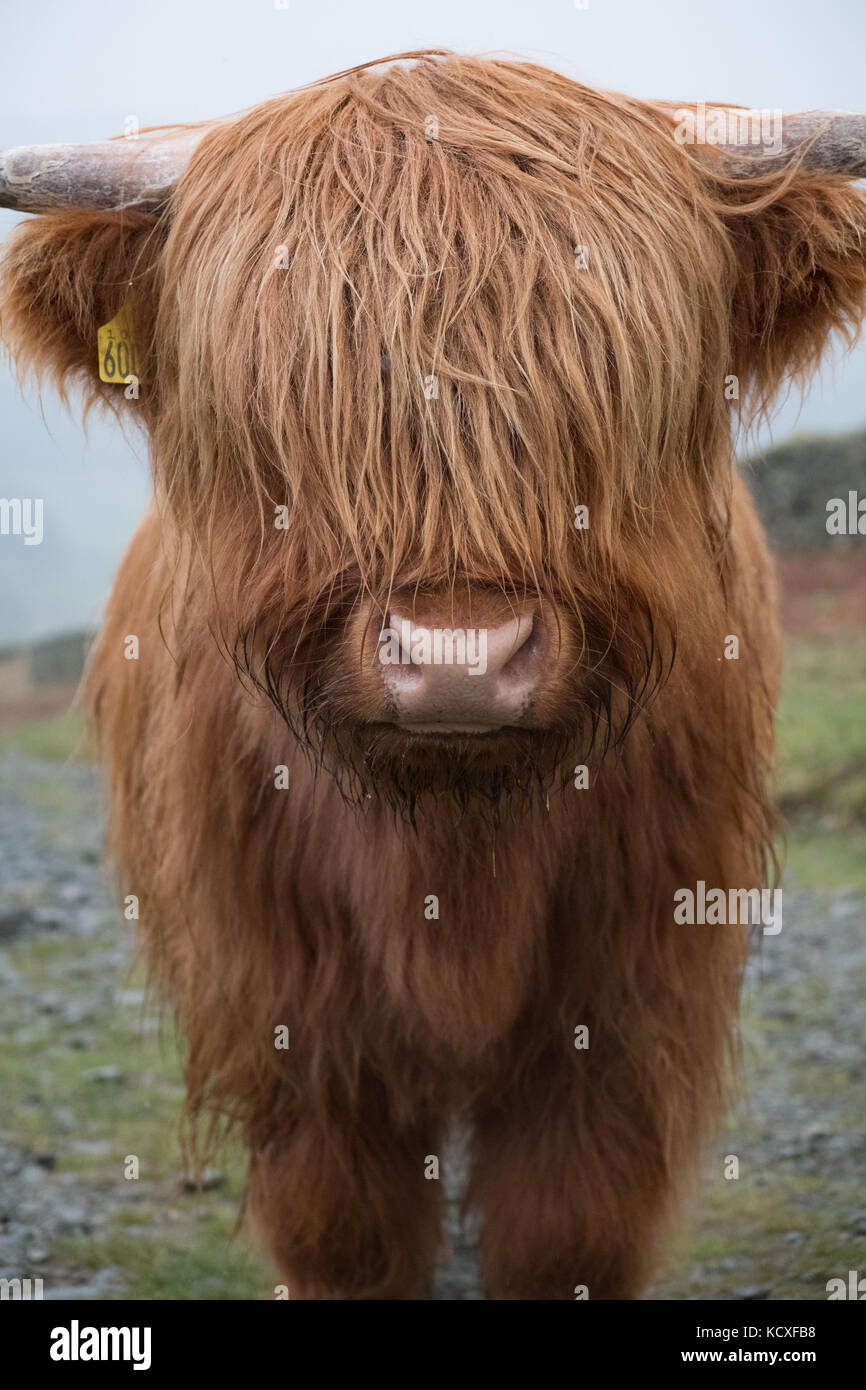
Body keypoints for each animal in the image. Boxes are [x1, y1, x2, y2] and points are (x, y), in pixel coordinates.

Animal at [1, 48, 866, 1295]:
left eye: (605, 390)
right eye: (282, 400)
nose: (459, 661)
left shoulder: (629, 1005)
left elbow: (565, 1230)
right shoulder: (290, 1019)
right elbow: (346, 1235)